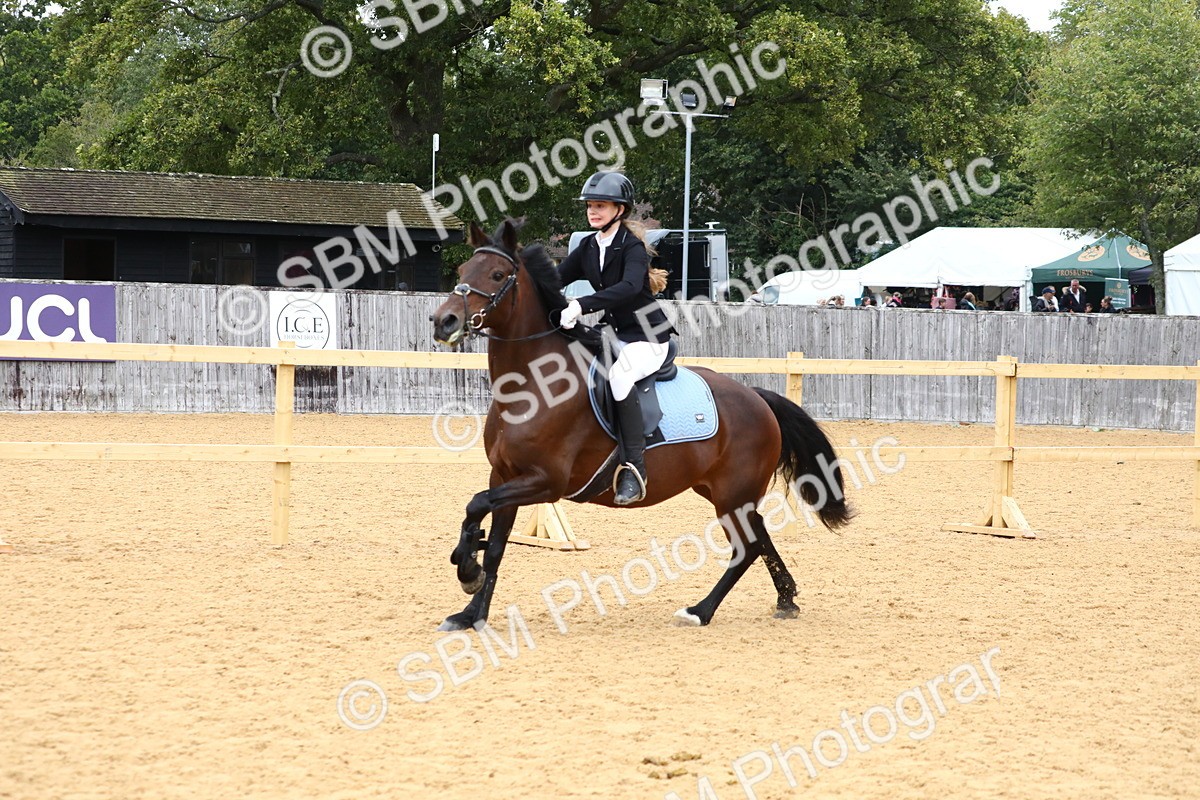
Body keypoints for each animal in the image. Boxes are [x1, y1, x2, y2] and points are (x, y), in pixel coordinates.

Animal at [430, 218, 851, 631]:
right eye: (462, 271)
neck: (532, 387)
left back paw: (700, 611)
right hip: (721, 490)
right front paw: (471, 612)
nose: (443, 321)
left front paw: (467, 570)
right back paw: (786, 598)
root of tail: (757, 397)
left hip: (734, 493)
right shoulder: (504, 475)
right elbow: (494, 543)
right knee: (758, 536)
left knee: (745, 547)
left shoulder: (545, 481)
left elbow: (476, 506)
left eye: (498, 274)